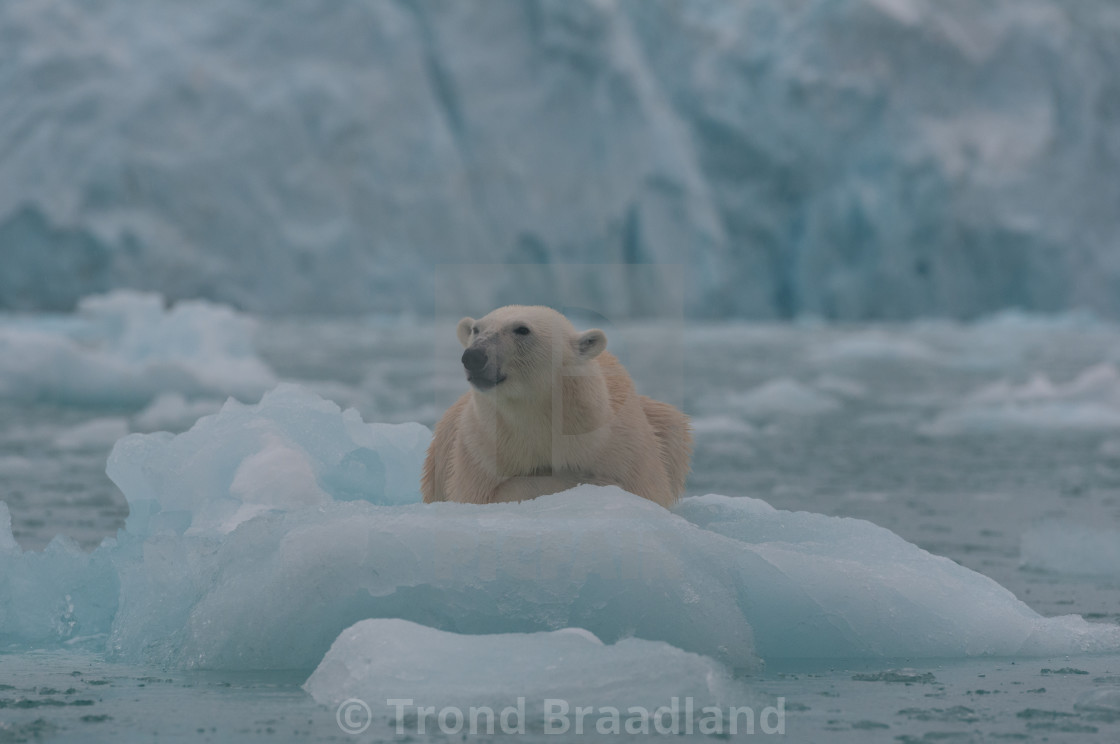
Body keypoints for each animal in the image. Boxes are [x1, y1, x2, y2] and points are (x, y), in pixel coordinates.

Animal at [421, 304, 689, 508]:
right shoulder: (479, 451)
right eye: (476, 329)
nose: (474, 356)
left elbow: (647, 490)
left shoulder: (624, 445)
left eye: (522, 329)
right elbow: (488, 494)